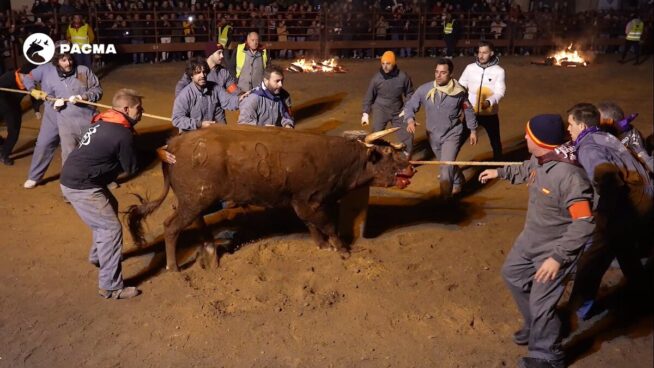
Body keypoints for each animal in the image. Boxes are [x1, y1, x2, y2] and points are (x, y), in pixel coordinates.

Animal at [128, 125, 416, 272]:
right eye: (388, 154)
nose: (412, 167)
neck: (339, 158)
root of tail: (171, 146)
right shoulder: (307, 200)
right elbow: (328, 225)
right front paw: (342, 249)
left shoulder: (308, 203)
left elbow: (314, 225)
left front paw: (323, 245)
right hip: (193, 200)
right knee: (171, 227)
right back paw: (174, 267)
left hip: (196, 200)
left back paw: (210, 251)